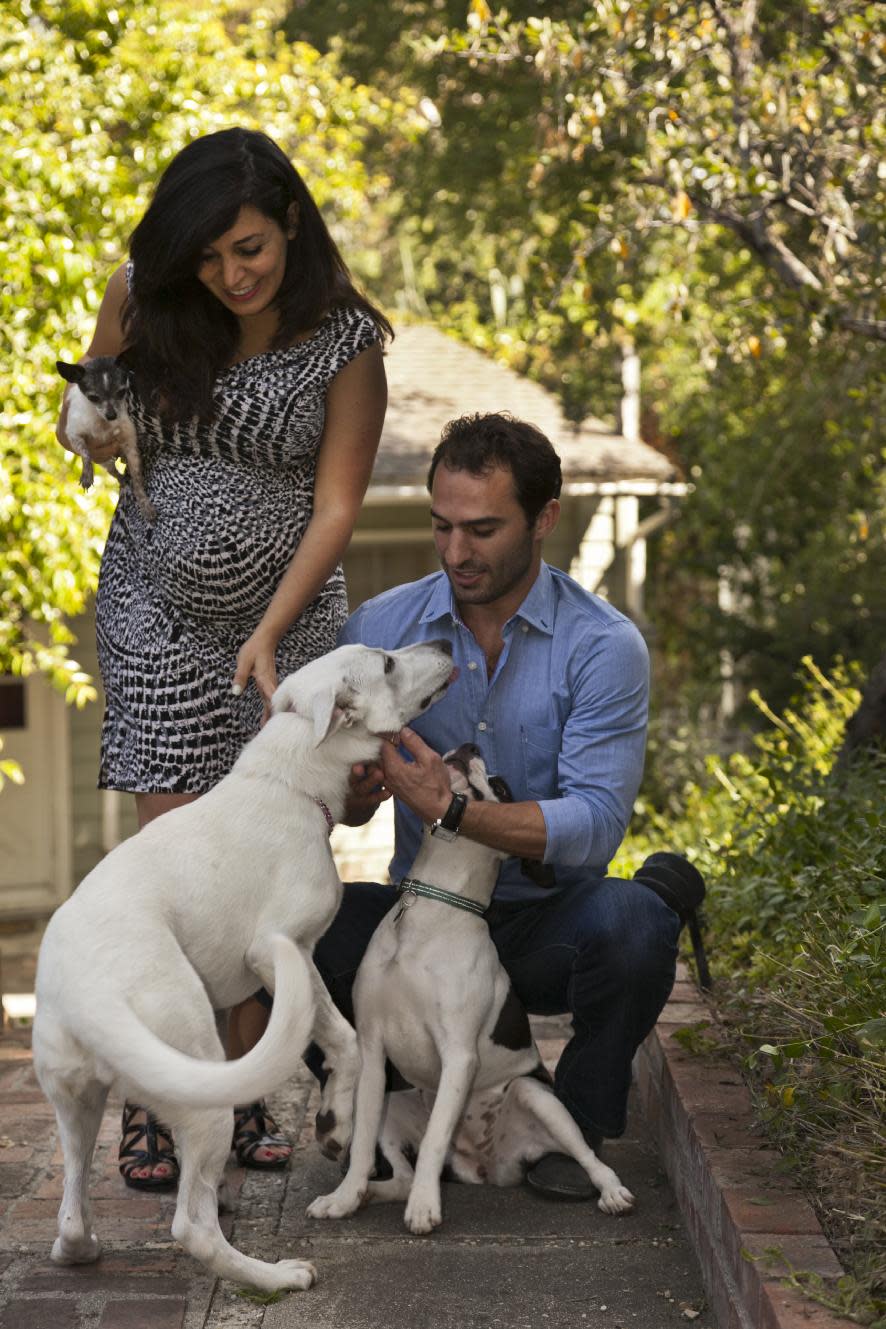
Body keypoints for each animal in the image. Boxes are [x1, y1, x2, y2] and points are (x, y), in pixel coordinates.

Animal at [31, 640, 456, 1286]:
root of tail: (87, 994)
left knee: (74, 1216)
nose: (446, 643)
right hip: (201, 1088)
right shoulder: (283, 951)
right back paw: (278, 1276)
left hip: (78, 1106)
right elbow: (347, 1040)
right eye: (386, 662)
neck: (290, 777)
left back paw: (88, 1245)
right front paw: (334, 1124)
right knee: (193, 1228)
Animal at [308, 749, 634, 1233]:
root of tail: (485, 1165)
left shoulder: (459, 1055)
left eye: (500, 787)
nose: (468, 747)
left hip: (537, 1098)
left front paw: (425, 1208)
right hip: (396, 1102)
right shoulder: (372, 1049)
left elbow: (434, 1138)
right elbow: (363, 1142)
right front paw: (345, 1197)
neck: (432, 906)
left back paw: (610, 1191)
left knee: (590, 1157)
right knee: (400, 1173)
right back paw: (367, 1192)